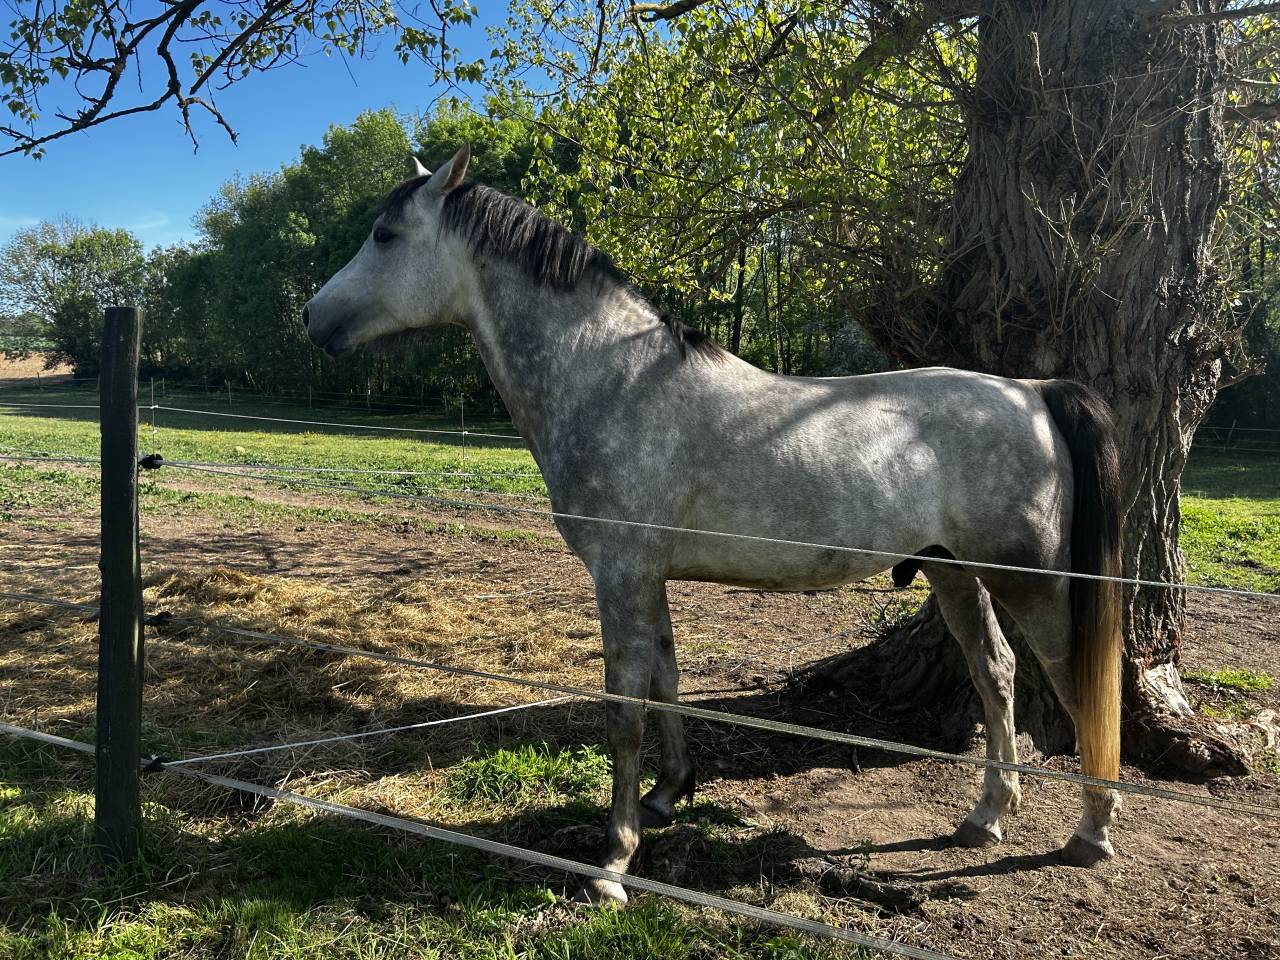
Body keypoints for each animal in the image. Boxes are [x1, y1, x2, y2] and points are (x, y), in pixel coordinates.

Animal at [302, 145, 1124, 905]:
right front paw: (669, 795)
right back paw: (986, 816)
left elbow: (624, 710)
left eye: (384, 235)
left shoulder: (622, 574)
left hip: (1032, 583)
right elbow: (667, 680)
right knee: (996, 673)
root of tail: (1033, 391)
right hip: (956, 573)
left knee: (1075, 680)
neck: (616, 384)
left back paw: (1091, 830)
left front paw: (613, 863)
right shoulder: (647, 577)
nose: (311, 317)